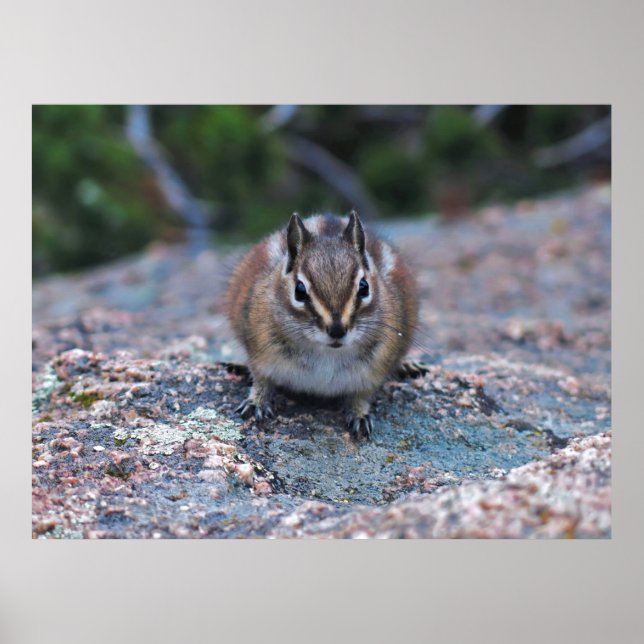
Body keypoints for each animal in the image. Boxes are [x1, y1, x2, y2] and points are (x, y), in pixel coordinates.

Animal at [224, 210, 427, 439]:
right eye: (299, 291)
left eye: (364, 287)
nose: (337, 330)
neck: (326, 354)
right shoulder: (261, 353)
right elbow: (261, 380)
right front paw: (256, 402)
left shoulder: (374, 370)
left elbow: (362, 396)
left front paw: (360, 415)